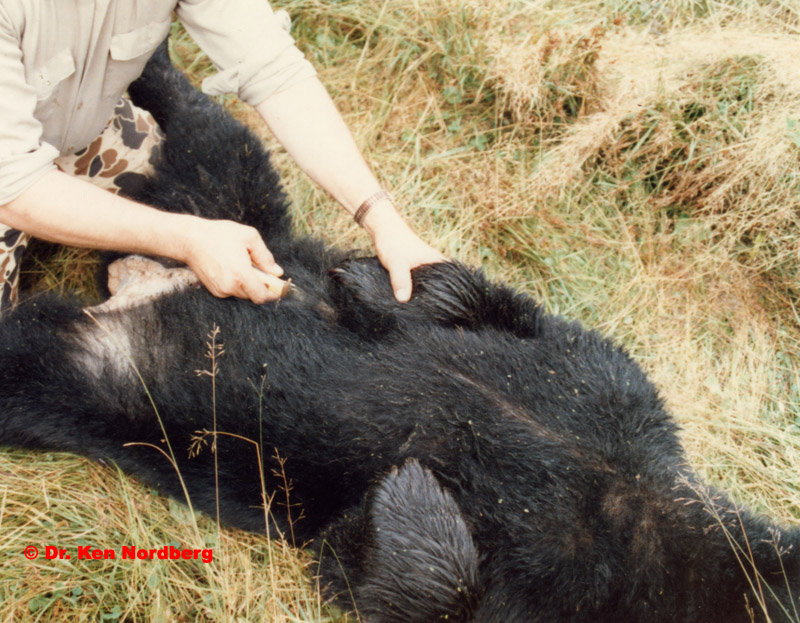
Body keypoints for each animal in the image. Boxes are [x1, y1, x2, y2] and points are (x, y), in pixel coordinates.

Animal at [1, 46, 800, 620]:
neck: (643, 512)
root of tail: (136, 278)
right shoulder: (615, 388)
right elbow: (500, 308)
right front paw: (375, 281)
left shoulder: (552, 587)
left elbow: (388, 579)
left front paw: (412, 489)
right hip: (234, 215)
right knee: (216, 131)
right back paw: (157, 56)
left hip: (105, 375)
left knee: (31, 360)